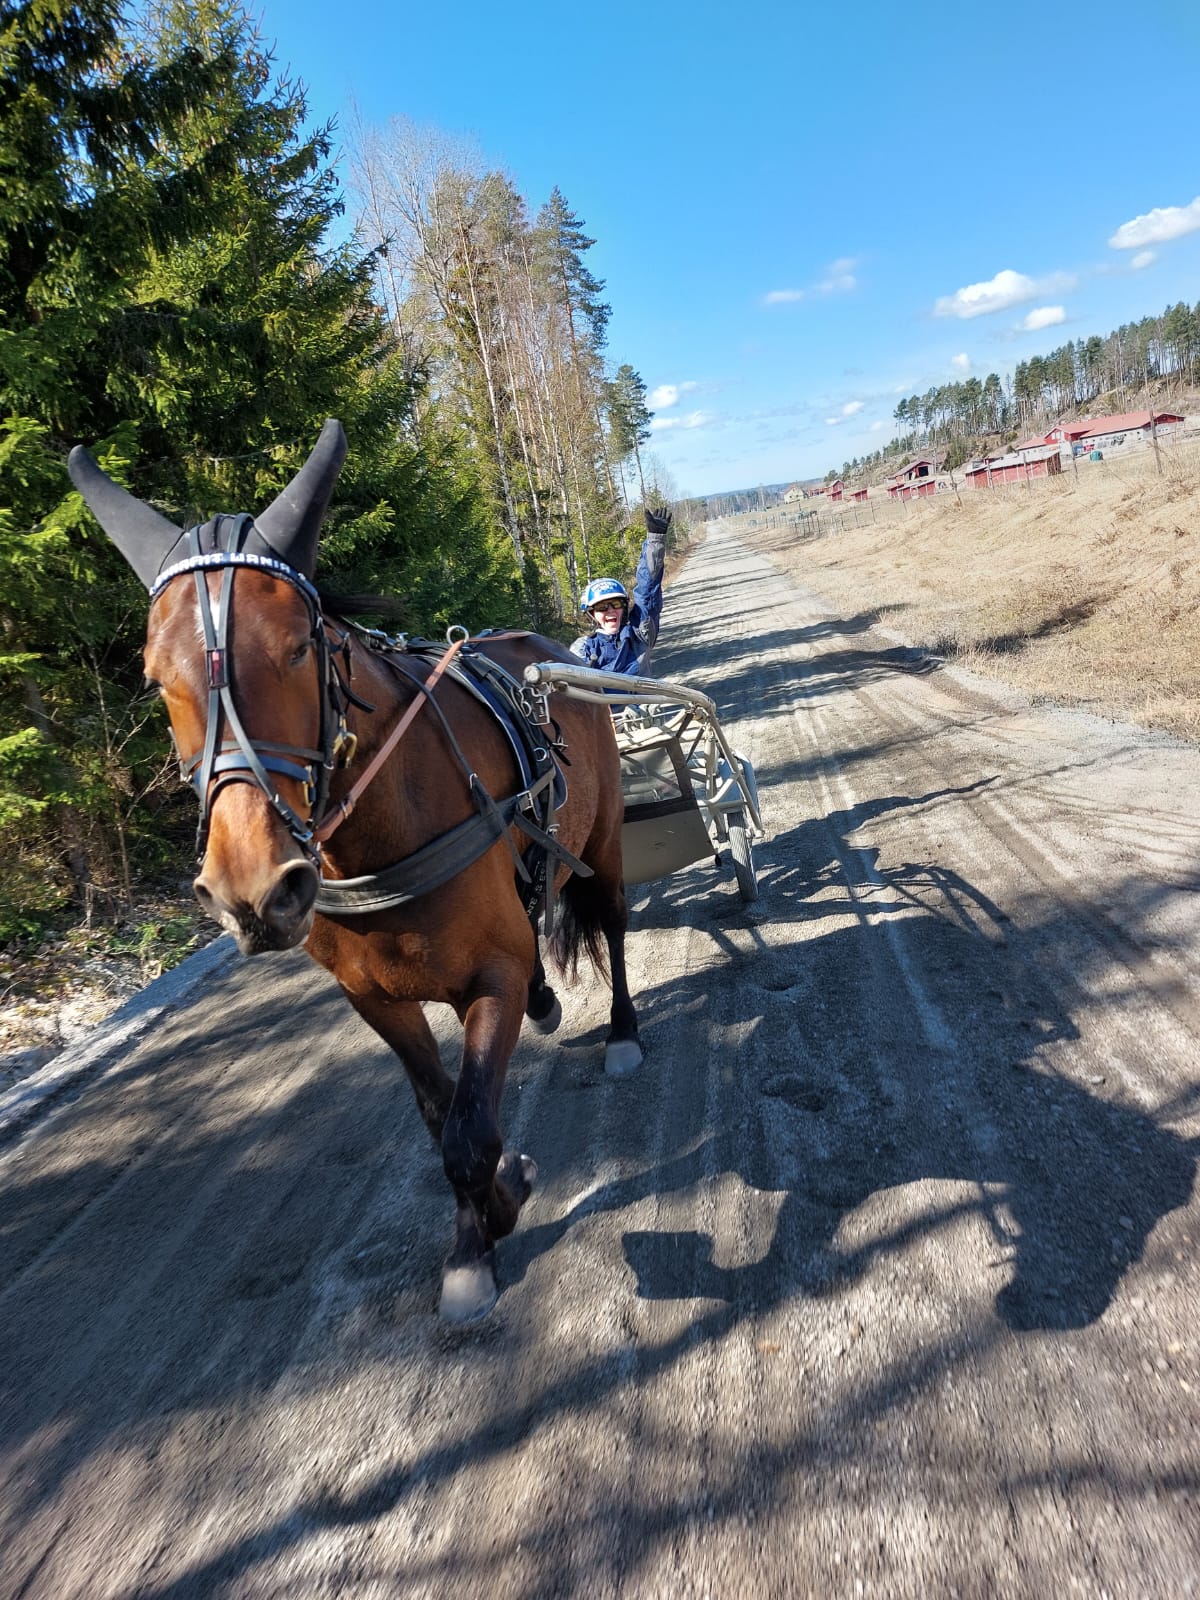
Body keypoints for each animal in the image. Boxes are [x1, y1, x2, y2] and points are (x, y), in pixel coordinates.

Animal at [70, 419, 643, 1318]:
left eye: (301, 645)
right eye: (153, 676)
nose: (252, 891)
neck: (379, 836)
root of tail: (548, 653)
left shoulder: (490, 975)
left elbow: (470, 1132)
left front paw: (492, 1218)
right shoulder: (374, 998)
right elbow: (440, 1117)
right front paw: (484, 1226)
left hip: (604, 843)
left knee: (613, 922)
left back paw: (621, 1031)